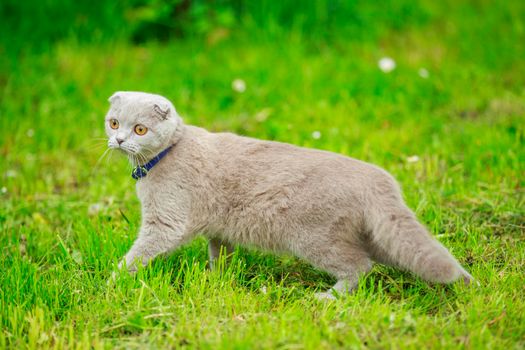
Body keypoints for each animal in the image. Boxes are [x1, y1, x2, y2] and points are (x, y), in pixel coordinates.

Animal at [104, 90, 472, 298]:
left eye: (140, 129)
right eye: (113, 123)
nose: (119, 140)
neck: (167, 154)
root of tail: (379, 181)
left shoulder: (166, 223)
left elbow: (138, 253)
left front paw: (114, 279)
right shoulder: (218, 229)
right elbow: (219, 252)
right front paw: (217, 278)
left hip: (315, 237)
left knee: (360, 267)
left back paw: (329, 298)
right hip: (376, 234)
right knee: (409, 253)